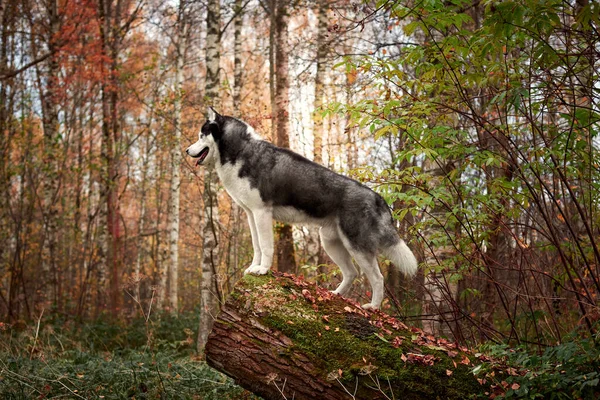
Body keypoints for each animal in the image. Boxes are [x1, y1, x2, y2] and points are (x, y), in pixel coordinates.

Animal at [186, 109, 418, 310]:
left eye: (200, 136)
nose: (187, 151)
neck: (241, 151)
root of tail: (378, 197)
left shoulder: (262, 213)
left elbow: (266, 247)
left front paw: (263, 269)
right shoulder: (251, 214)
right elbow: (257, 246)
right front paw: (254, 267)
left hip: (357, 247)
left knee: (377, 279)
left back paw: (373, 307)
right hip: (330, 242)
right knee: (351, 273)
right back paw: (336, 295)